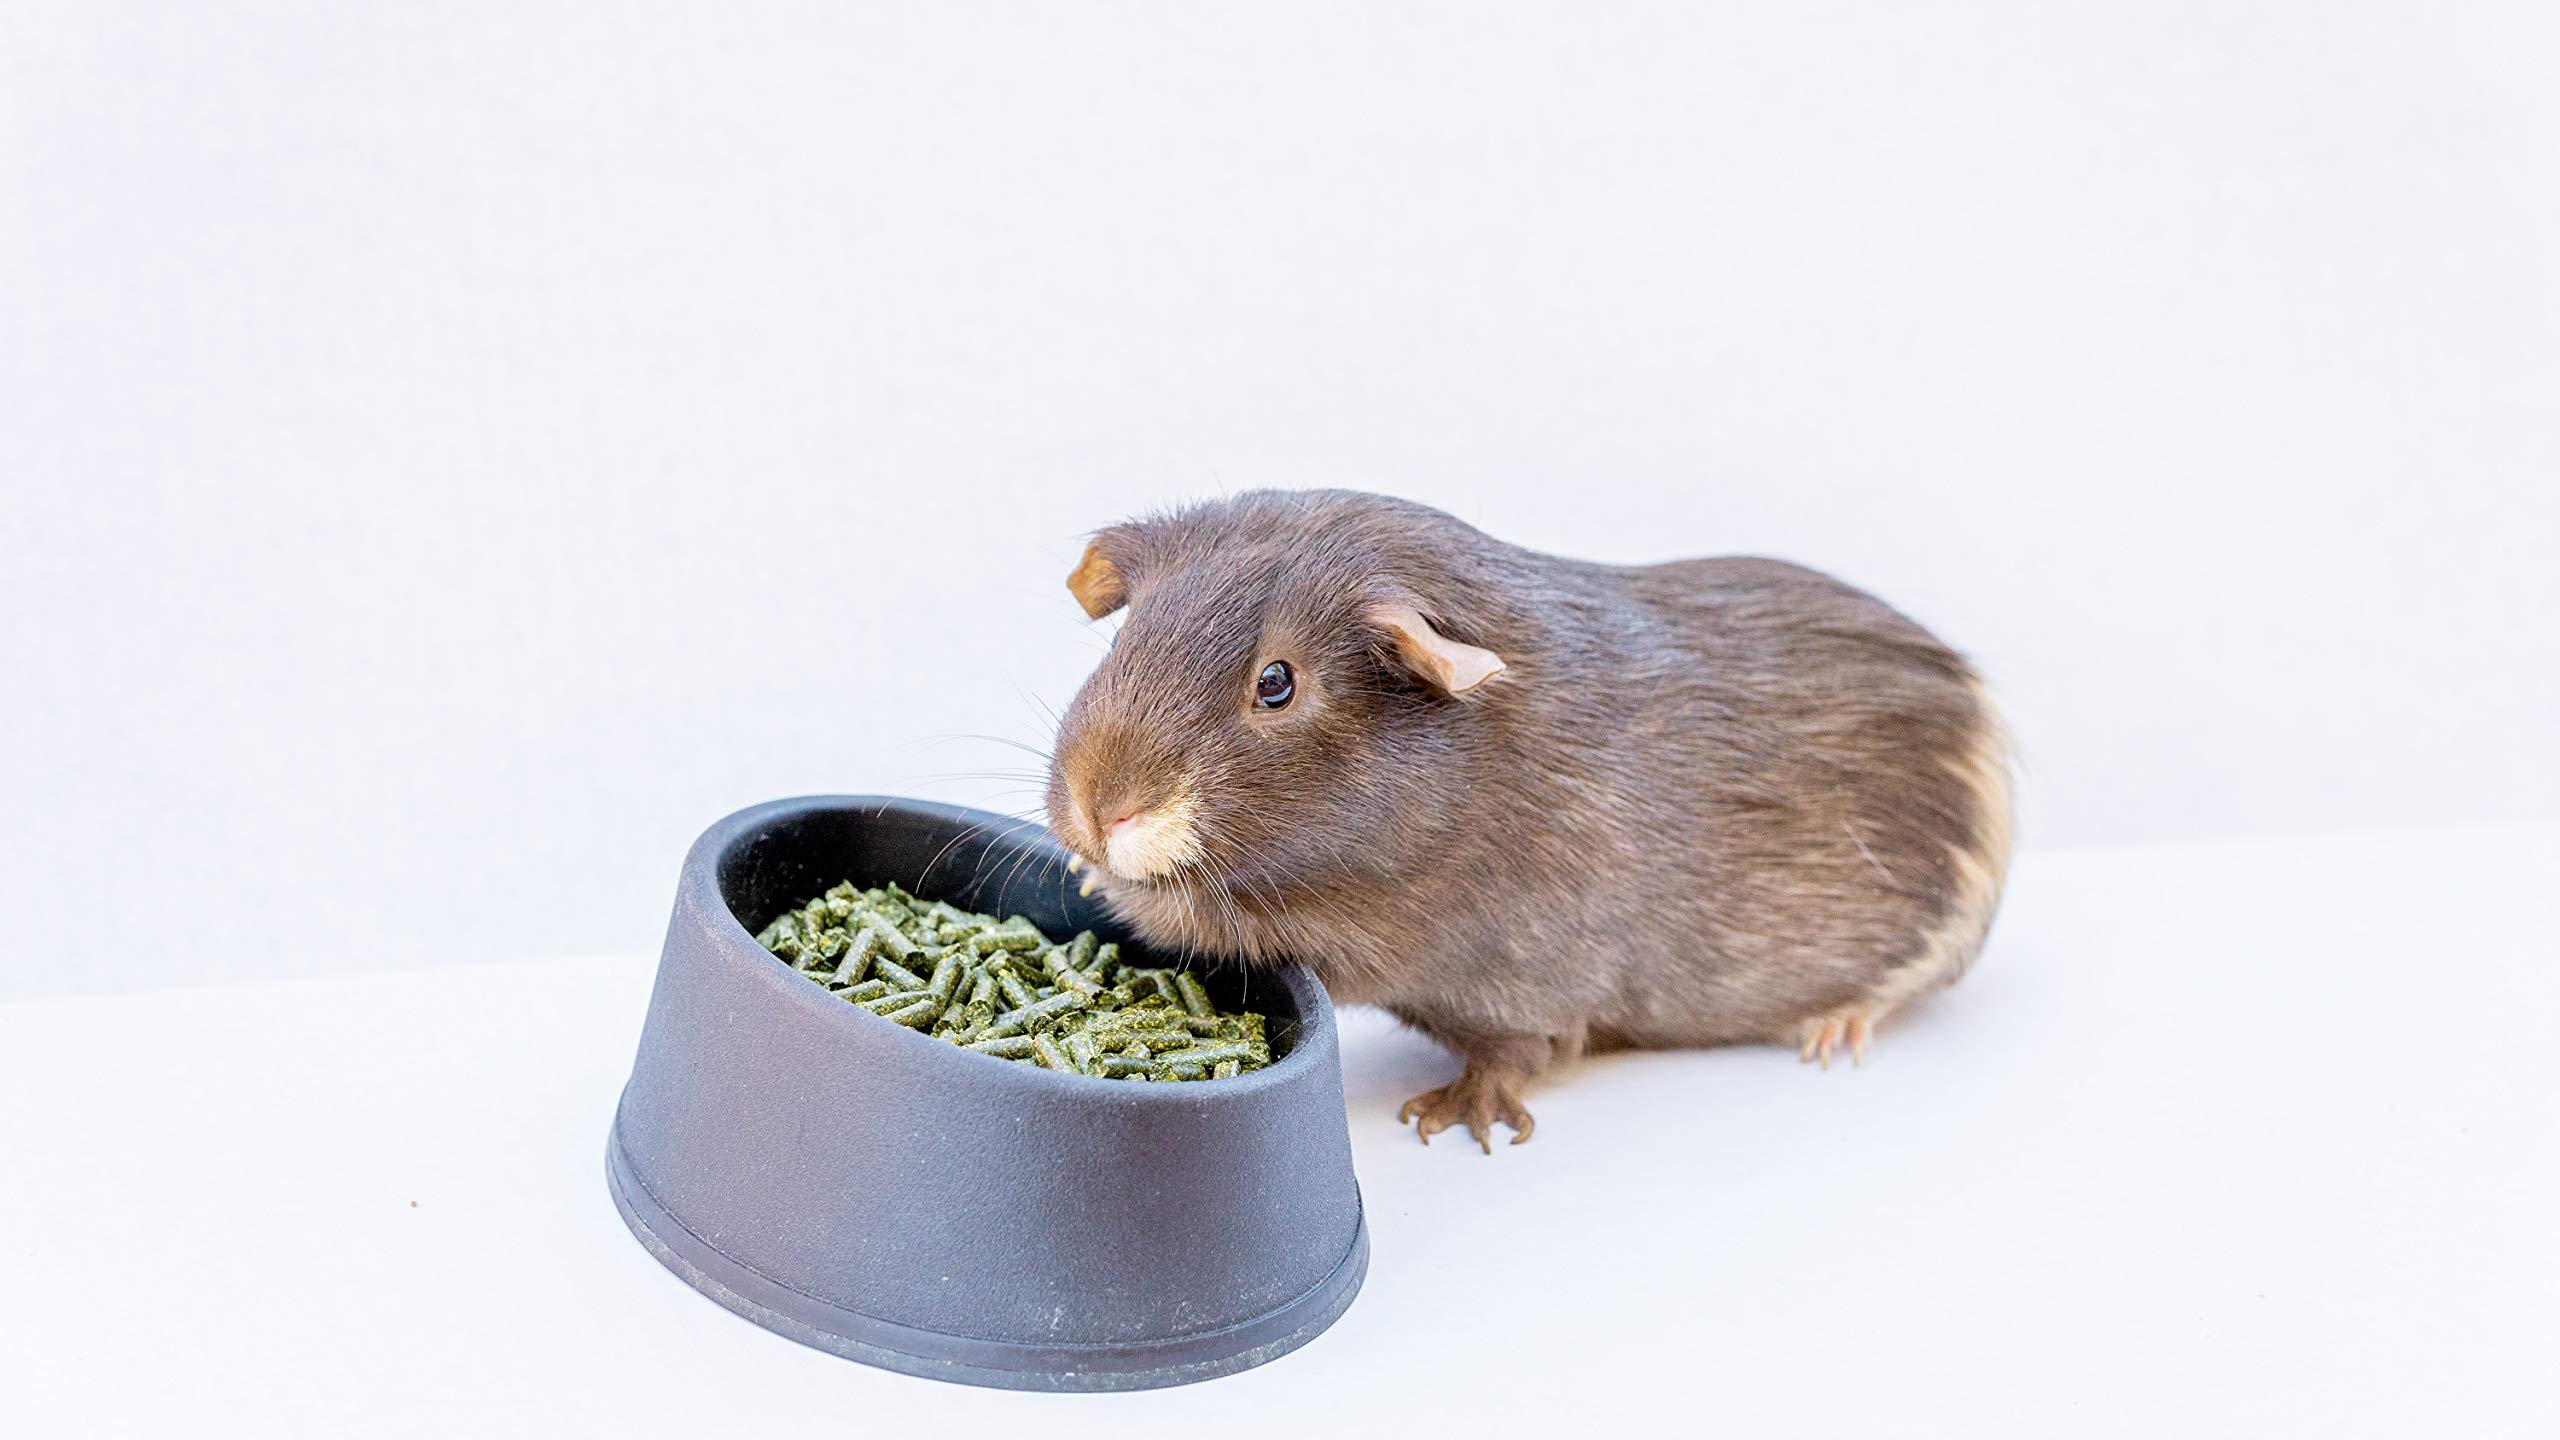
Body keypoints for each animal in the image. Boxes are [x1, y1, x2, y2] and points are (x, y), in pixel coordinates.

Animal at [1043, 489, 2013, 1152]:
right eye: (1127, 639)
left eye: (1275, 682)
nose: (1098, 810)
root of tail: (1982, 726)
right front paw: (1086, 872)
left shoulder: (1507, 983)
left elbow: (1514, 1057)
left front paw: (1447, 1121)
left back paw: (1830, 1039)